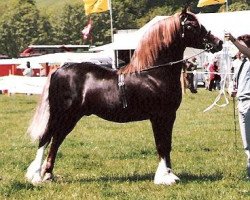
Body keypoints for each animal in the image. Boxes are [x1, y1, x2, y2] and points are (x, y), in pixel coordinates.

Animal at [25, 8, 223, 185]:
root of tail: (59, 70)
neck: (153, 74)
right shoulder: (160, 116)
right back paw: (36, 176)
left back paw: (48, 175)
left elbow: (166, 144)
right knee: (46, 138)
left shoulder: (167, 117)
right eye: (191, 25)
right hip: (60, 115)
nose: (218, 42)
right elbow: (162, 144)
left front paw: (167, 175)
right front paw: (165, 178)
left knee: (56, 140)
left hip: (71, 117)